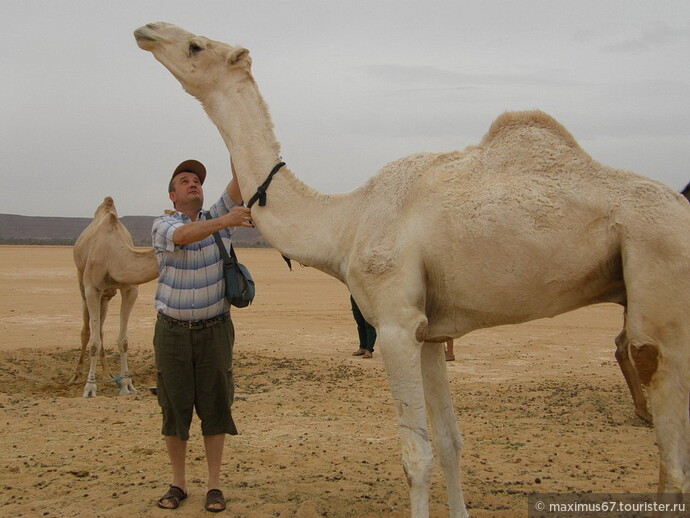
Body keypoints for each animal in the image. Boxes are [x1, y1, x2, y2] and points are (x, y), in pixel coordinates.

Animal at [70, 198, 158, 398]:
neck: (113, 255)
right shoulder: (92, 289)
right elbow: (93, 342)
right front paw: (90, 387)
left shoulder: (130, 290)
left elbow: (123, 341)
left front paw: (127, 384)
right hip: (82, 283)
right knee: (87, 331)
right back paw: (76, 376)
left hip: (106, 296)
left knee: (100, 330)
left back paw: (107, 373)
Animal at [134, 22, 688, 516]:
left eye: (195, 44)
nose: (146, 30)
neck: (345, 222)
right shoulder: (428, 333)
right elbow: (449, 443)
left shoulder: (396, 325)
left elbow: (415, 458)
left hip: (659, 289)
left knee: (671, 453)